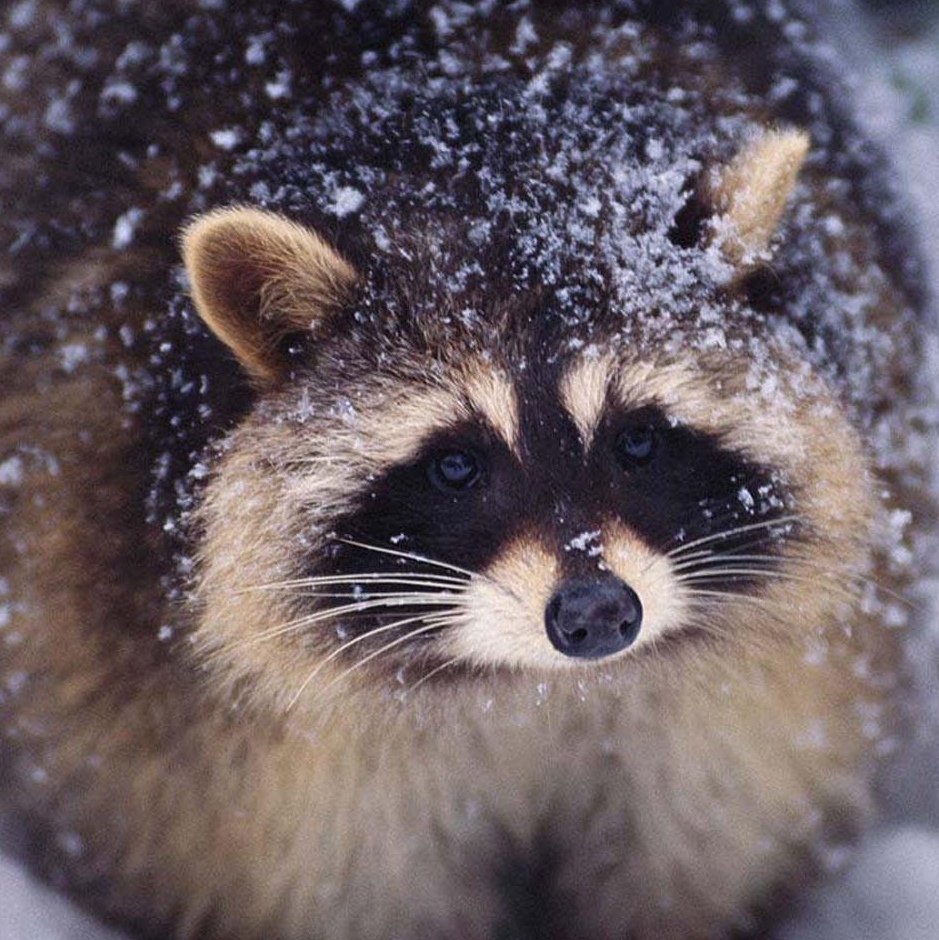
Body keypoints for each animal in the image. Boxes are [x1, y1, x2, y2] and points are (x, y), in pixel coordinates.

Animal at [0, 1, 933, 939]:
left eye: (637, 441)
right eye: (455, 465)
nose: (595, 613)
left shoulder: (743, 721)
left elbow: (690, 855)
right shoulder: (202, 734)